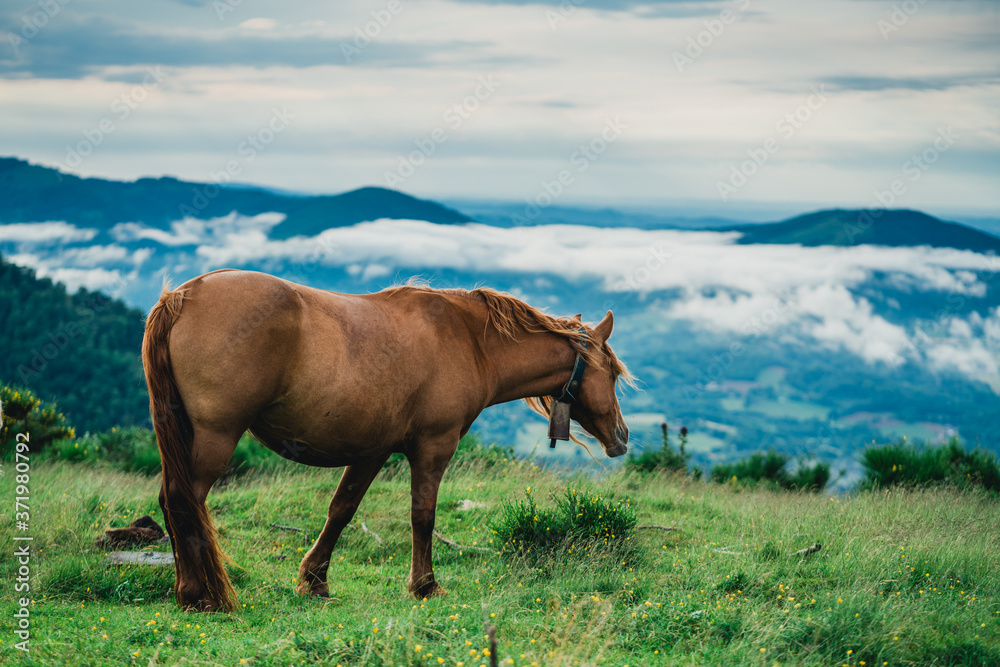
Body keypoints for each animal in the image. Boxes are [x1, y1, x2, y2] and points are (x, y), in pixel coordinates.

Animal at [141, 269, 632, 612]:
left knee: (172, 501)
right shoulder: (433, 447)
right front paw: (425, 585)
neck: (470, 341)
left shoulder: (371, 452)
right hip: (216, 437)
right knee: (184, 501)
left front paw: (314, 581)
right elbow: (423, 517)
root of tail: (183, 296)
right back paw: (197, 594)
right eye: (612, 373)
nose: (622, 438)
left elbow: (341, 510)